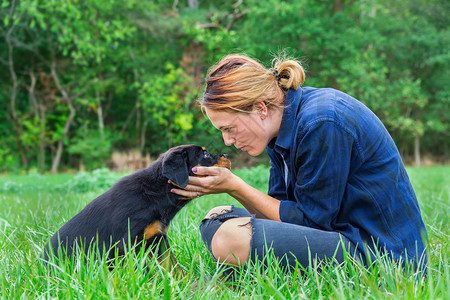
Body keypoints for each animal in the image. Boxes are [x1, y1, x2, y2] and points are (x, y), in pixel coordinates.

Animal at [42, 144, 230, 268]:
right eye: (205, 155)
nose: (227, 155)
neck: (157, 193)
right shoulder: (128, 243)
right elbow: (143, 270)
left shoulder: (158, 239)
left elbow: (173, 266)